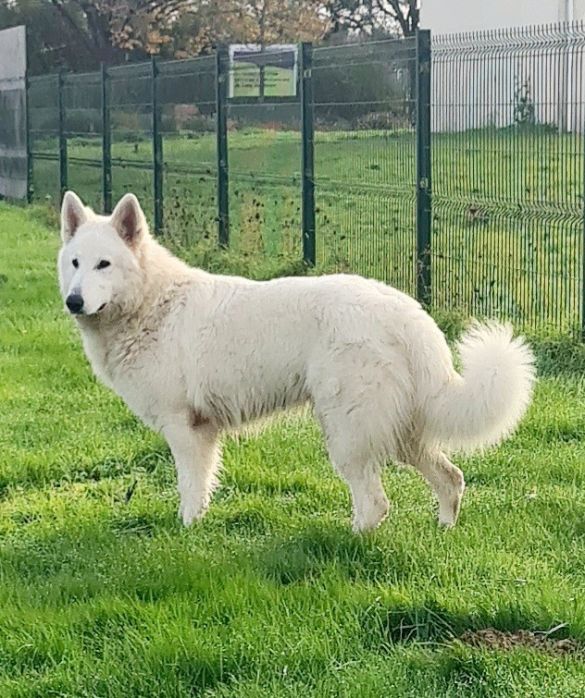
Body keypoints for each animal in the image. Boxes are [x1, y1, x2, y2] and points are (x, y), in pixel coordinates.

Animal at [58, 191, 535, 531]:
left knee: (375, 503)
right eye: (76, 263)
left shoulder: (184, 428)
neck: (152, 303)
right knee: (450, 478)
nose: (73, 302)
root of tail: (408, 312)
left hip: (348, 430)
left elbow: (190, 488)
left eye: (104, 264)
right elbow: (204, 484)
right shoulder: (203, 430)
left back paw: (351, 540)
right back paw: (444, 528)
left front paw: (186, 532)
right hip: (401, 430)